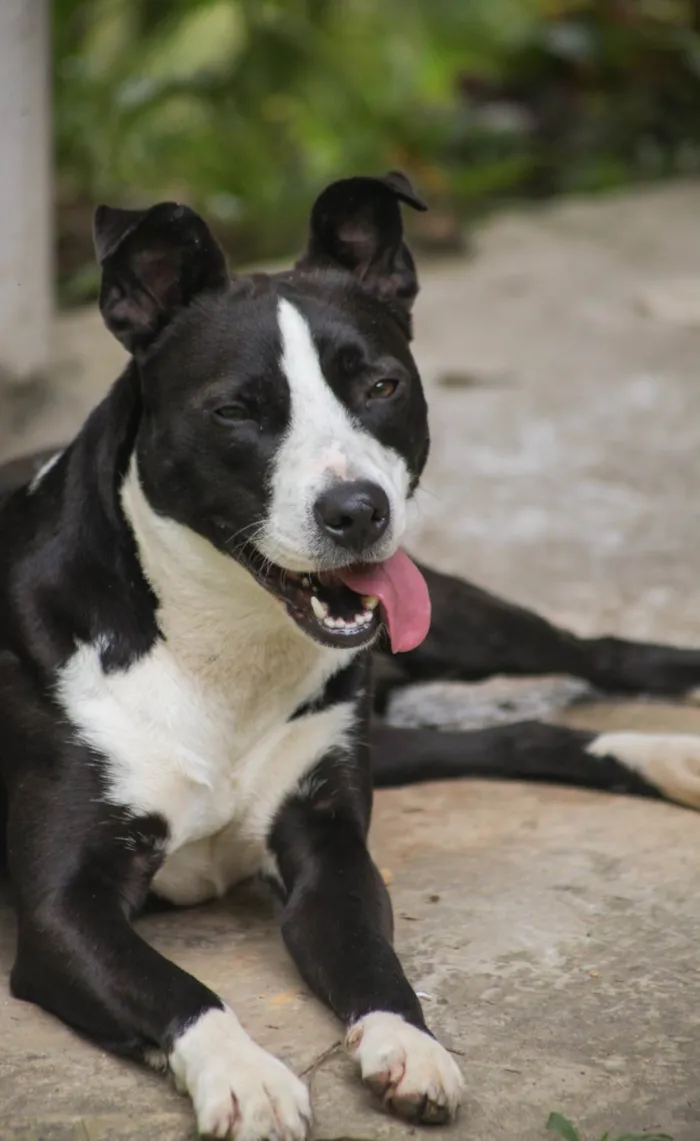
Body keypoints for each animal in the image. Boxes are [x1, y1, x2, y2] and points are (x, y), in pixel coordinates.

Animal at [1, 171, 698, 1141]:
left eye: (382, 383)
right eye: (237, 410)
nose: (357, 510)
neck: (226, 643)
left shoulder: (330, 853)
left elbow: (373, 959)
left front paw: (408, 1041)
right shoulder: (62, 910)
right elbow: (179, 987)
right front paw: (246, 1074)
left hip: (451, 622)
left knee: (593, 653)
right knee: (518, 736)